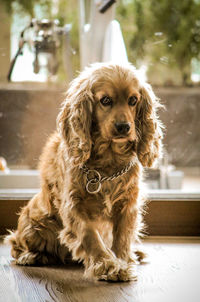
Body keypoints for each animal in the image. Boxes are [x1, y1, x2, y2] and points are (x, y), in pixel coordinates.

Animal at [5, 62, 163, 282]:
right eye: (105, 100)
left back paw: (137, 253)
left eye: (133, 100)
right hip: (34, 223)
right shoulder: (74, 205)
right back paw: (31, 256)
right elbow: (90, 235)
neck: (108, 164)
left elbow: (123, 238)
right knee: (15, 243)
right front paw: (107, 265)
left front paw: (123, 262)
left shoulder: (127, 205)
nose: (124, 127)